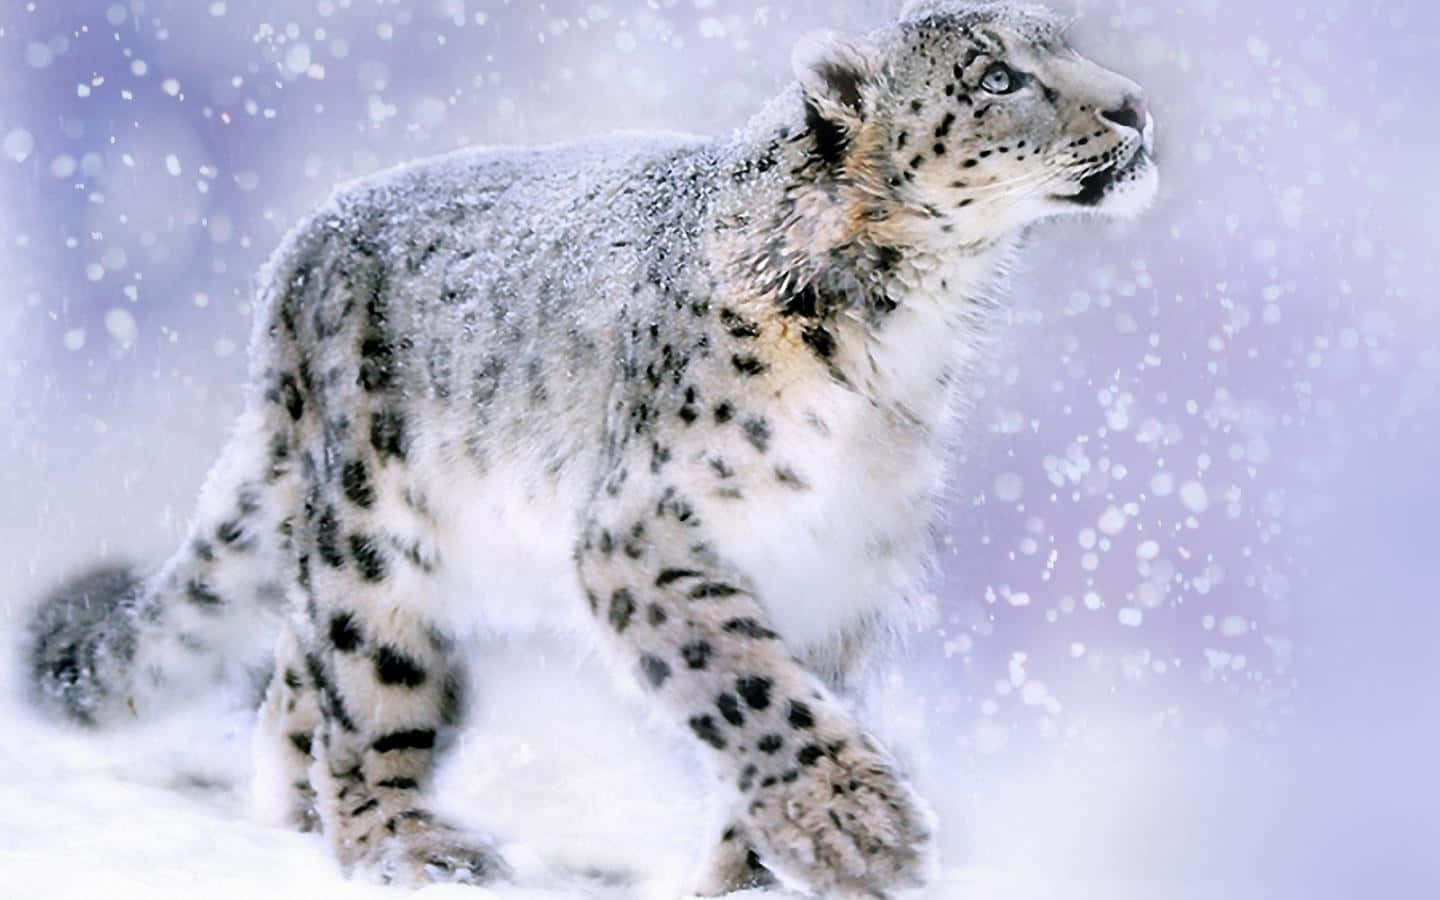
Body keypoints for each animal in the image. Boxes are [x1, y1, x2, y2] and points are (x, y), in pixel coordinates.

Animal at [24, 2, 1157, 896]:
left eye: (1070, 46)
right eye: (999, 76)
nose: (1136, 106)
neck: (906, 339)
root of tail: (293, 261)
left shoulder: (839, 563)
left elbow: (795, 696)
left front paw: (757, 871)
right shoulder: (647, 530)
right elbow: (749, 686)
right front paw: (860, 832)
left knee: (297, 678)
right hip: (373, 530)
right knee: (365, 688)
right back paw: (408, 843)